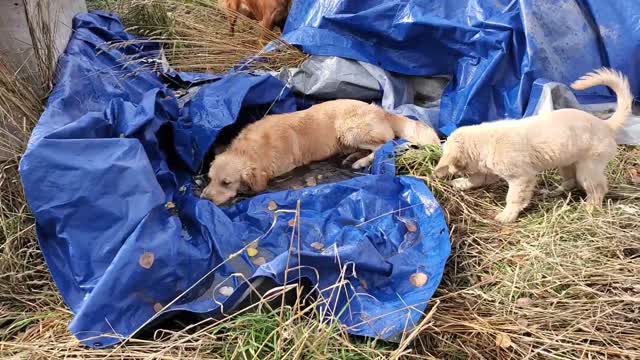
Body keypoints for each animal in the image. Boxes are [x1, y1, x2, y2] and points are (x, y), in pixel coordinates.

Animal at [202, 98, 442, 205]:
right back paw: (353, 157)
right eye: (210, 178)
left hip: (349, 129)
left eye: (226, 182)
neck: (252, 149)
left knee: (386, 143)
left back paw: (361, 162)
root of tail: (380, 109)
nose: (204, 199)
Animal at [432, 68, 632, 224]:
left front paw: (507, 216)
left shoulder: (521, 177)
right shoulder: (490, 172)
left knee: (598, 189)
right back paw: (552, 192)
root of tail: (605, 124)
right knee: (570, 182)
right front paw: (460, 183)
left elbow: (513, 198)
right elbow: (475, 179)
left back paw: (590, 209)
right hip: (567, 163)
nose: (439, 174)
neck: (485, 141)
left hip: (588, 169)